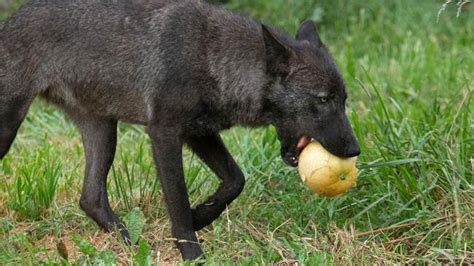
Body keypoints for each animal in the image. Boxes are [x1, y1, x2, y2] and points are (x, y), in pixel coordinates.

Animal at [0, 0, 362, 260]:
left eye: (344, 100)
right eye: (323, 99)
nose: (354, 150)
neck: (213, 58)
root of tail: (11, 21)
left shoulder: (198, 133)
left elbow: (236, 180)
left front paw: (202, 214)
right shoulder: (164, 135)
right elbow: (177, 201)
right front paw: (192, 252)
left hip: (104, 132)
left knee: (90, 198)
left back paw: (130, 244)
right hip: (11, 128)